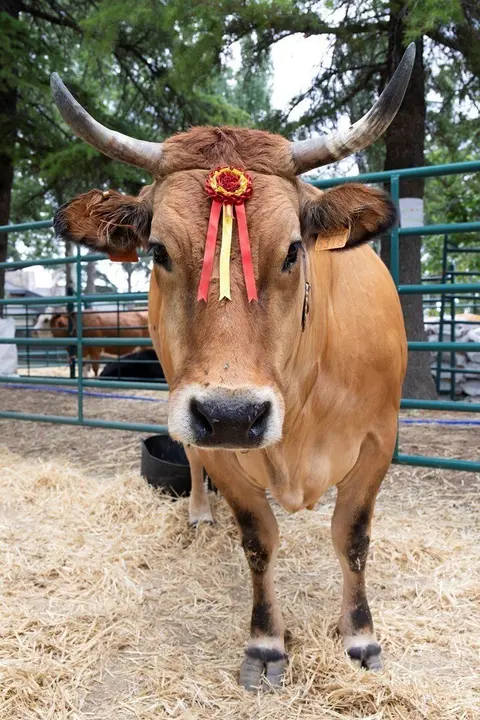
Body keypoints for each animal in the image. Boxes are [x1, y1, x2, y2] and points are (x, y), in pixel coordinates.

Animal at [49, 44, 414, 690]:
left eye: (293, 250)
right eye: (158, 251)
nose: (231, 414)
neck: (304, 395)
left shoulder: (379, 440)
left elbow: (352, 538)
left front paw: (360, 636)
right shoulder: (217, 441)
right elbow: (259, 541)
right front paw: (266, 645)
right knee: (193, 460)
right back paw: (199, 512)